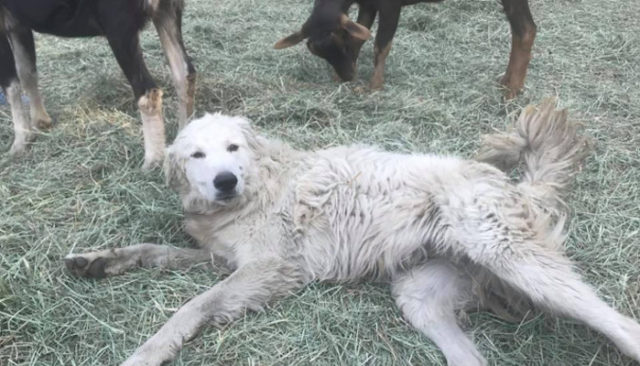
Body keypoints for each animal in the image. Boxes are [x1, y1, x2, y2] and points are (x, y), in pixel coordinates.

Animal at [0, 0, 195, 169]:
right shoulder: (19, 23)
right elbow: (27, 73)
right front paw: (40, 121)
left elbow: (11, 84)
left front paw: (19, 143)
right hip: (166, 12)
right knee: (184, 74)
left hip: (119, 28)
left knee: (147, 91)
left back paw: (152, 162)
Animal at [63, 100, 640, 366]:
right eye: (196, 156)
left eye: (232, 148)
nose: (225, 181)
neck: (259, 185)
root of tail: (514, 184)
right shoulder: (228, 260)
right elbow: (156, 250)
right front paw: (101, 260)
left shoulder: (269, 268)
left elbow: (191, 307)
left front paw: (147, 352)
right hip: (420, 297)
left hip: (508, 255)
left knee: (618, 322)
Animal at [276, 0, 536, 98]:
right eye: (315, 50)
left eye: (339, 39)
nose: (347, 76)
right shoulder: (367, 5)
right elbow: (362, 35)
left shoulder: (391, 6)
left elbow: (381, 45)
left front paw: (374, 87)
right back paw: (506, 81)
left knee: (526, 29)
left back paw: (512, 92)